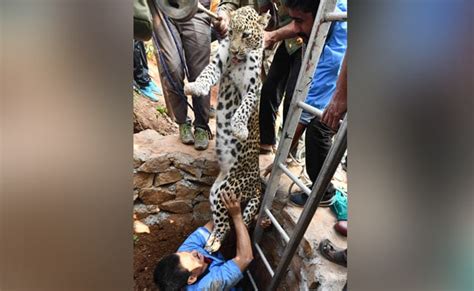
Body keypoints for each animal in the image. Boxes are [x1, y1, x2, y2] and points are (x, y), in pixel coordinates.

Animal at [183, 6, 268, 253]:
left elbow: (245, 107)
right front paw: (194, 86)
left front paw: (239, 129)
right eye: (230, 32)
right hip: (217, 190)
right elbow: (205, 74)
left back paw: (214, 242)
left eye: (246, 35)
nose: (236, 50)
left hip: (228, 189)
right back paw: (213, 239)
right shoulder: (218, 64)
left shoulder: (254, 87)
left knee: (229, 224)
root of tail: (257, 183)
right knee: (223, 220)